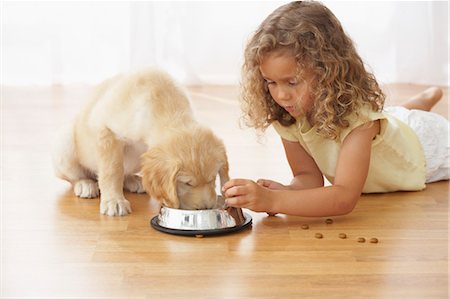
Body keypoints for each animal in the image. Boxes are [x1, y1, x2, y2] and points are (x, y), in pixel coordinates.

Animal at [52, 69, 229, 217]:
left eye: (212, 179)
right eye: (187, 183)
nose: (206, 208)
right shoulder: (107, 130)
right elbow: (112, 170)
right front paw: (114, 201)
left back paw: (133, 180)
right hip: (64, 143)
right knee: (75, 176)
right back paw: (85, 184)